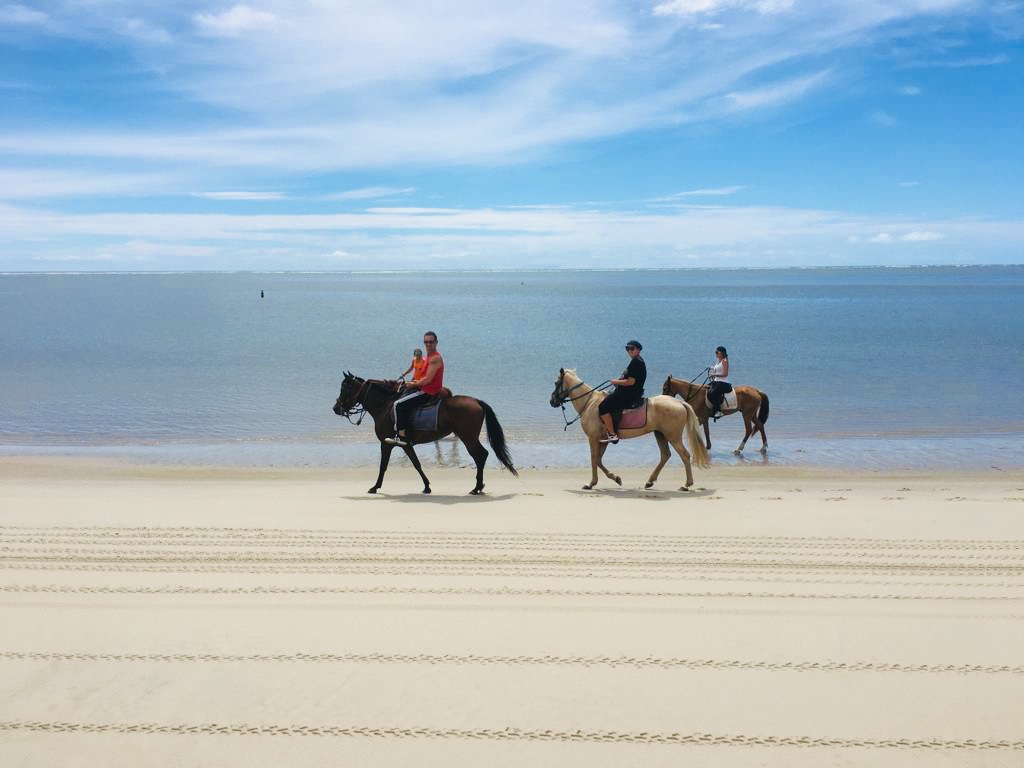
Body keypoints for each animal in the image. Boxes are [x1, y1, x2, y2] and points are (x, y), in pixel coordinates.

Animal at [331, 374, 516, 495]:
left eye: (345, 388)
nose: (336, 408)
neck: (385, 406)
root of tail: (477, 401)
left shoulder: (386, 443)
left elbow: (383, 466)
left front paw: (375, 487)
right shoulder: (405, 444)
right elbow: (416, 464)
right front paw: (427, 486)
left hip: (468, 437)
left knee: (481, 455)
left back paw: (477, 487)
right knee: (481, 456)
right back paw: (479, 486)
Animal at [548, 368, 708, 493]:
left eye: (556, 383)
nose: (552, 401)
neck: (589, 402)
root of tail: (680, 403)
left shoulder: (593, 438)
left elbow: (594, 459)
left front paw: (591, 483)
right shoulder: (603, 440)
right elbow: (598, 460)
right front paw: (616, 478)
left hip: (672, 436)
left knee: (685, 456)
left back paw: (686, 485)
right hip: (660, 434)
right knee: (665, 455)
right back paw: (650, 482)